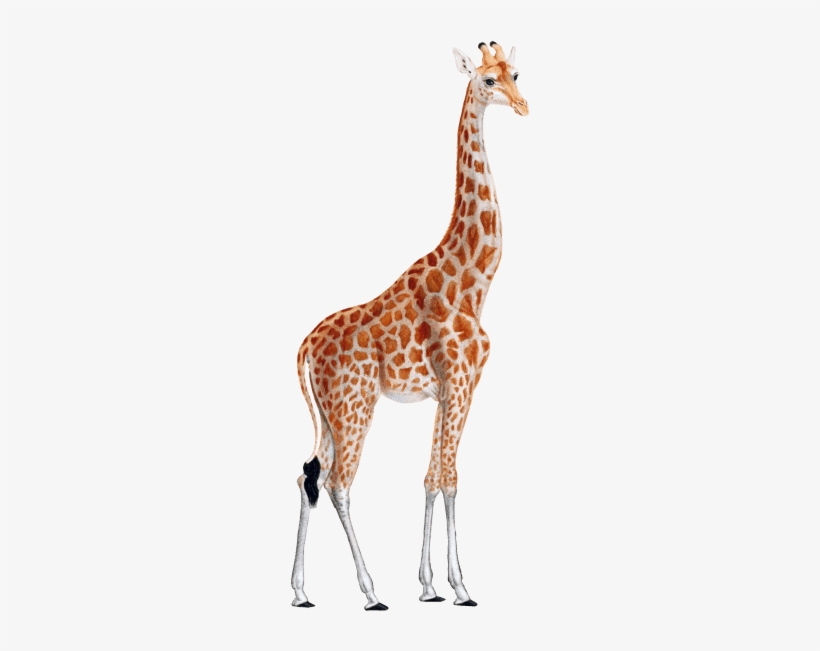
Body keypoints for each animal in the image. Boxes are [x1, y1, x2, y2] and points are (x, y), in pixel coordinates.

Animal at [290, 42, 528, 611]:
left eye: (517, 73)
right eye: (487, 81)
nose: (523, 105)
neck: (474, 282)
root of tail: (304, 347)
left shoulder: (447, 390)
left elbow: (431, 477)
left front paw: (429, 585)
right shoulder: (461, 382)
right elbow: (451, 477)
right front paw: (461, 586)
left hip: (329, 413)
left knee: (307, 474)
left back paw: (301, 591)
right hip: (354, 406)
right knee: (337, 482)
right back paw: (371, 591)